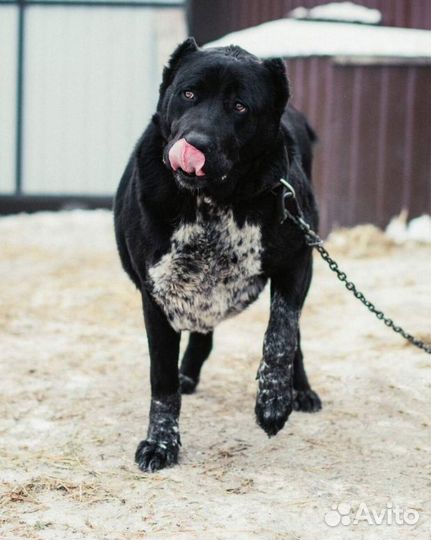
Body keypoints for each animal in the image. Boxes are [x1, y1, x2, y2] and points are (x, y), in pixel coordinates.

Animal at [113, 38, 322, 470]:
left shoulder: (297, 262)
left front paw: (274, 402)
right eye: (189, 94)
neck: (215, 202)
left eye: (239, 106)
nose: (196, 143)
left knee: (294, 334)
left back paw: (301, 391)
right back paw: (188, 375)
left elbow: (282, 334)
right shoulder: (157, 292)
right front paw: (161, 443)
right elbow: (162, 380)